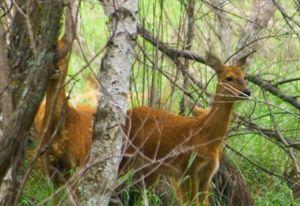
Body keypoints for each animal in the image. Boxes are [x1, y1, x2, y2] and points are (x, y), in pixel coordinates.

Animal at [120, 52, 252, 206]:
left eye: (245, 77)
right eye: (229, 78)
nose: (247, 92)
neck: (206, 136)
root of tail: (128, 112)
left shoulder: (207, 175)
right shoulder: (188, 169)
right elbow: (193, 203)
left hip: (150, 168)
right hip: (125, 153)